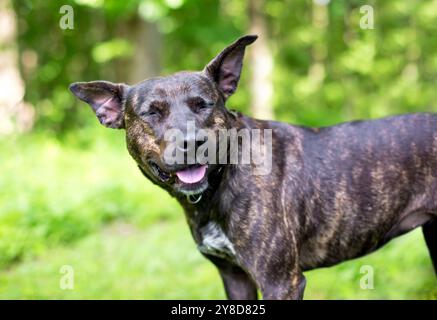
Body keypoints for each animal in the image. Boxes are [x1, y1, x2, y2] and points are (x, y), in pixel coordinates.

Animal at [70, 35, 436, 300]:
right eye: (152, 113)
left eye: (204, 105)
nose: (191, 141)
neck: (220, 183)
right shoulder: (235, 277)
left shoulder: (281, 282)